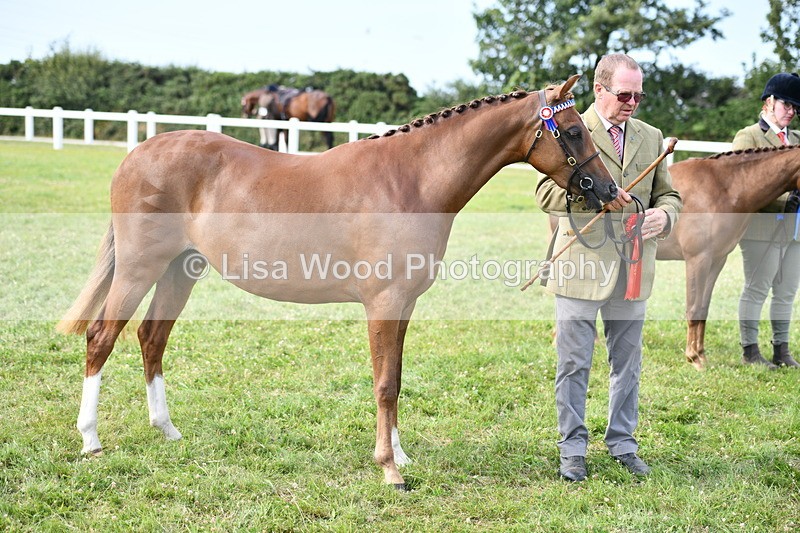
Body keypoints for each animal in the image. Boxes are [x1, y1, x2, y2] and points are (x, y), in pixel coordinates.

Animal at [57, 74, 618, 490]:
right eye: (572, 130)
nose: (610, 192)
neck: (410, 180)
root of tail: (137, 154)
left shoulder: (404, 305)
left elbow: (396, 378)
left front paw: (400, 455)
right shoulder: (383, 303)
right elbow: (384, 383)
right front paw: (389, 470)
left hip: (181, 269)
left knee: (151, 338)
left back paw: (167, 431)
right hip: (139, 268)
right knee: (101, 337)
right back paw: (90, 441)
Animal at [656, 145, 800, 370]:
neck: (723, 187)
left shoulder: (717, 260)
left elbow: (703, 309)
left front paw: (701, 356)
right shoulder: (697, 260)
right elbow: (693, 308)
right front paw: (693, 359)